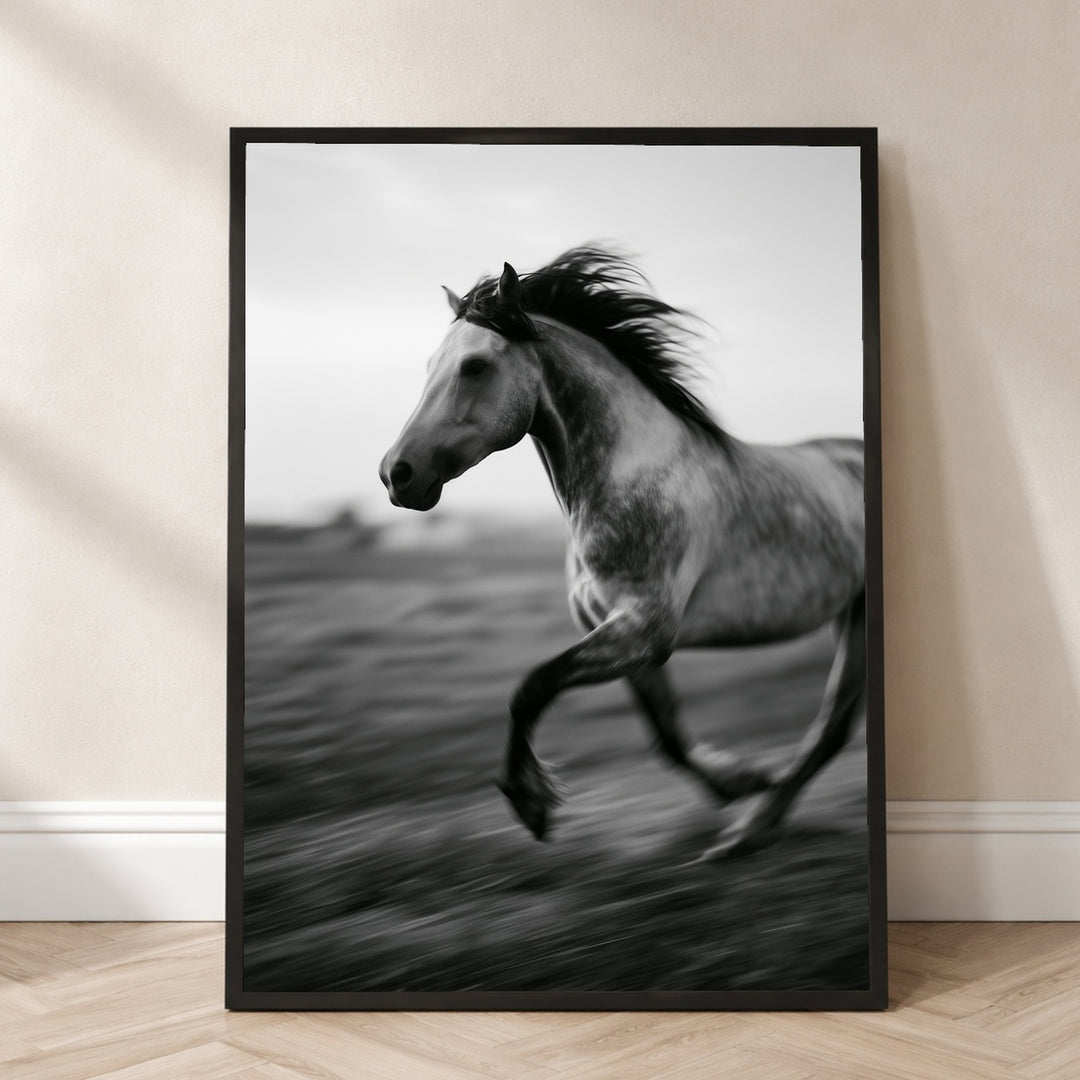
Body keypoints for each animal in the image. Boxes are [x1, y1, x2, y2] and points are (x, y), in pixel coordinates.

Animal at [379, 247, 866, 859]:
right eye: (430, 366)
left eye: (474, 366)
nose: (396, 474)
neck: (630, 478)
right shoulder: (620, 636)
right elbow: (666, 734)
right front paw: (740, 779)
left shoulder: (643, 630)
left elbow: (530, 687)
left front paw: (530, 803)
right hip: (849, 613)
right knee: (833, 729)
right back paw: (751, 826)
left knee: (831, 728)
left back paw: (745, 833)